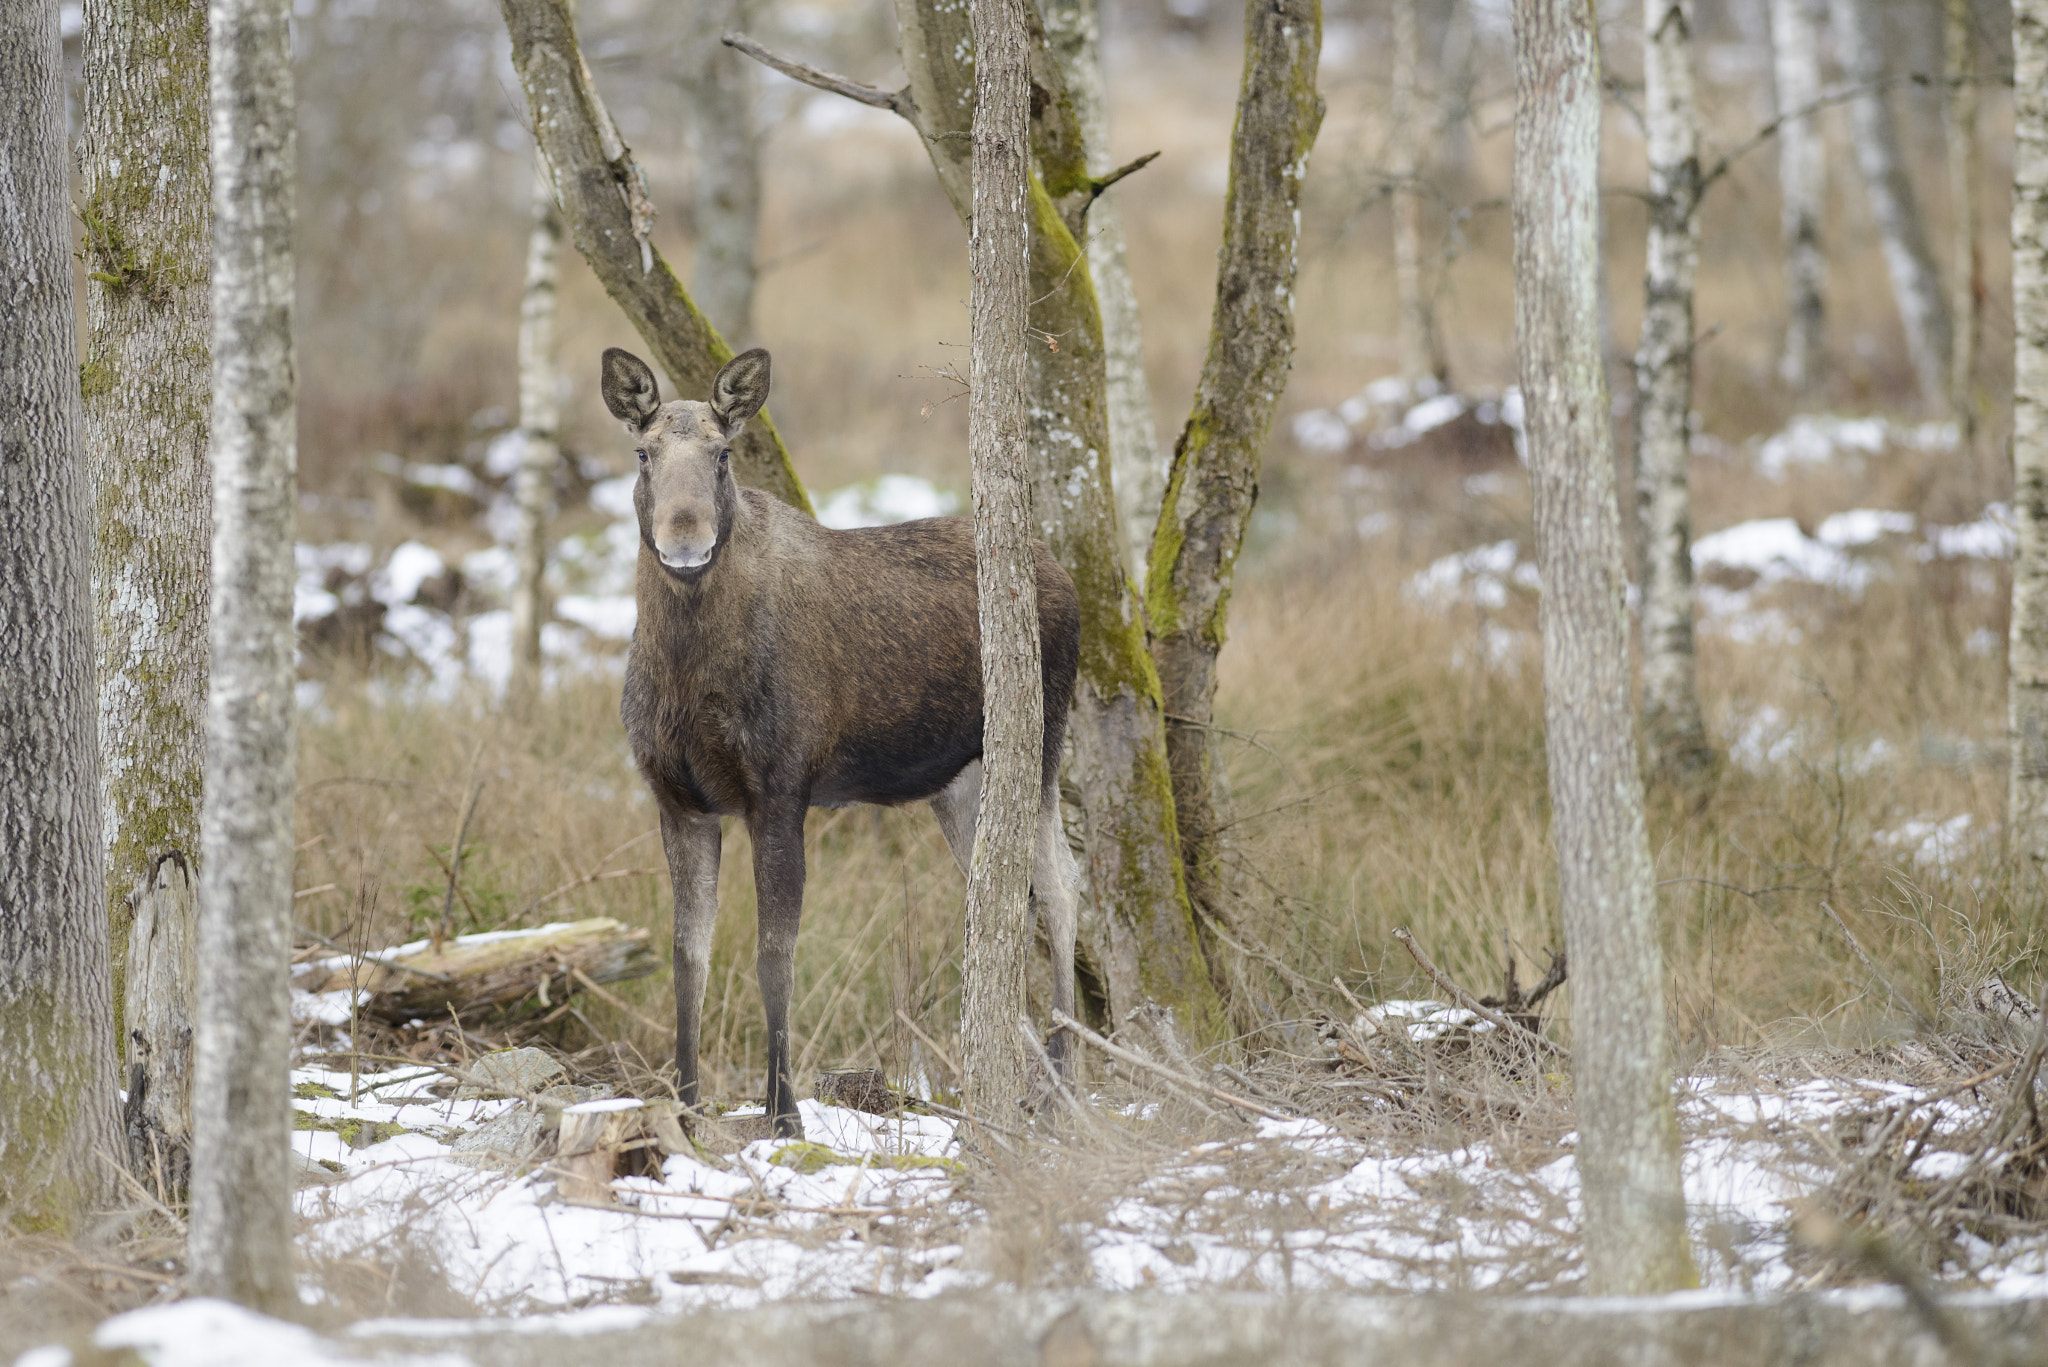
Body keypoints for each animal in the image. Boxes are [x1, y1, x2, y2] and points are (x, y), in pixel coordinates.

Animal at [601, 345, 1083, 1138]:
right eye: (643, 453)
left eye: (723, 454)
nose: (685, 541)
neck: (687, 671)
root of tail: (1066, 577)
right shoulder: (678, 800)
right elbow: (687, 956)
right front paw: (687, 1106)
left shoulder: (781, 789)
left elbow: (774, 956)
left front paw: (785, 1112)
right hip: (959, 783)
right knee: (999, 901)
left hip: (1039, 742)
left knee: (1060, 887)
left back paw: (1063, 1083)